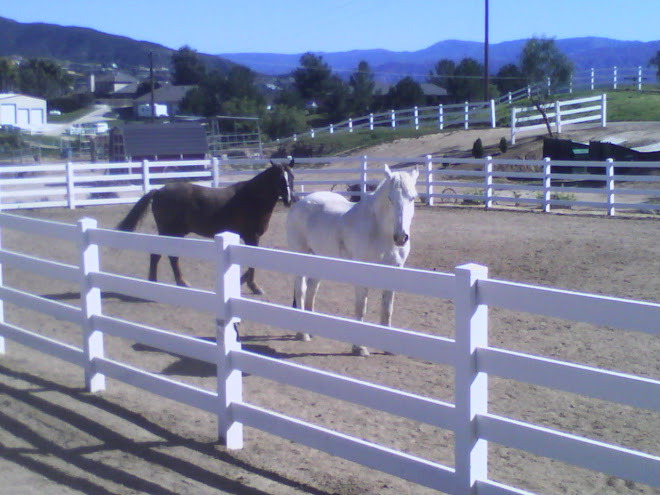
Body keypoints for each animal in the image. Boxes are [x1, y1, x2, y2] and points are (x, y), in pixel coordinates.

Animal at [117, 158, 296, 294]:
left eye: (292, 177)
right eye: (279, 179)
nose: (289, 200)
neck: (252, 198)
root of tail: (159, 191)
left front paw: (242, 280)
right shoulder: (252, 237)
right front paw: (254, 286)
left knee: (168, 257)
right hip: (169, 232)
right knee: (161, 256)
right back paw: (164, 282)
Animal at [284, 167, 418, 356]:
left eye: (412, 197)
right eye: (390, 198)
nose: (401, 237)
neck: (378, 230)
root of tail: (299, 203)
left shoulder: (393, 270)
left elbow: (387, 309)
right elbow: (361, 307)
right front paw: (359, 348)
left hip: (320, 258)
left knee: (312, 289)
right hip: (301, 256)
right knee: (301, 290)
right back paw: (302, 334)